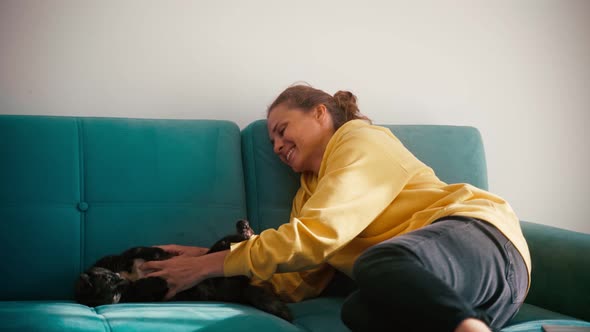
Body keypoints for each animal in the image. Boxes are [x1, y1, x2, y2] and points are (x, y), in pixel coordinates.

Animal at [76, 220, 294, 322]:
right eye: (110, 283)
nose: (119, 279)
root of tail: (242, 292)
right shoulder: (137, 292)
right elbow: (149, 284)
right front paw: (157, 278)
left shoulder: (118, 258)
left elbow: (136, 250)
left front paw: (154, 253)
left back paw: (244, 229)